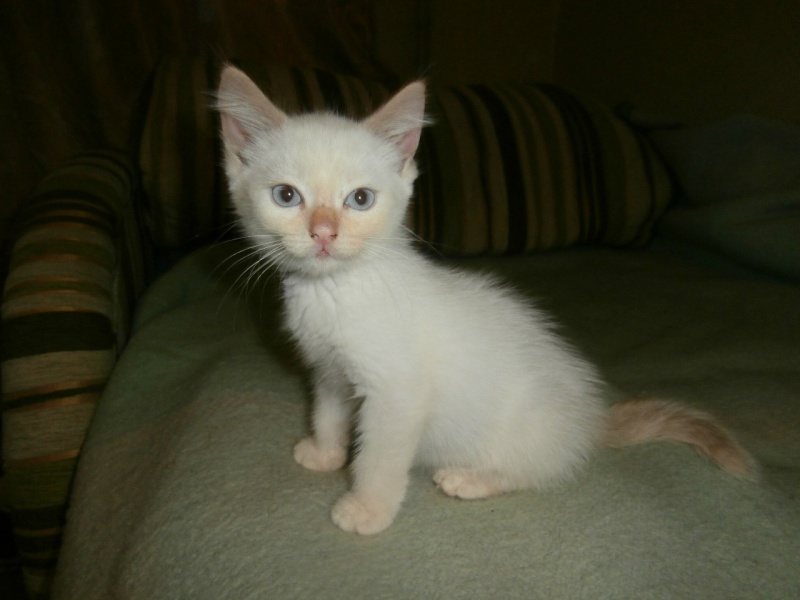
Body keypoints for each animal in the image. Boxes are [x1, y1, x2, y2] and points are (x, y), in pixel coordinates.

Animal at [215, 65, 756, 535]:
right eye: (287, 196)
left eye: (360, 199)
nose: (324, 233)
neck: (334, 290)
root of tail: (592, 419)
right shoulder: (329, 371)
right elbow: (328, 411)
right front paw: (325, 452)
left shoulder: (397, 392)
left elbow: (380, 457)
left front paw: (367, 509)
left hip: (526, 431)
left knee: (536, 470)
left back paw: (470, 478)